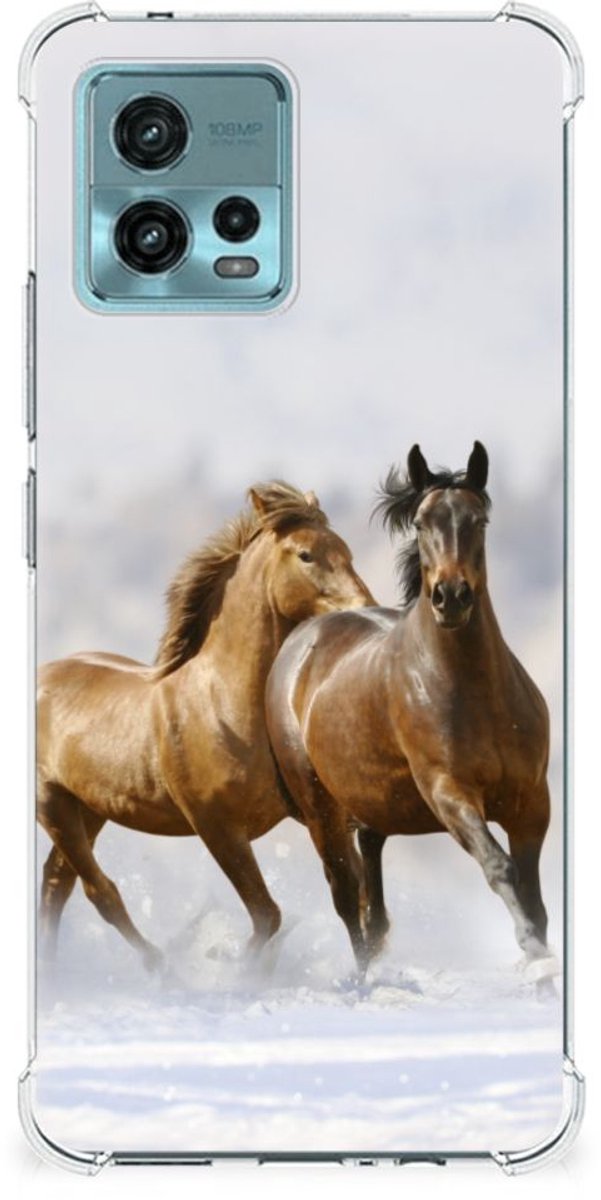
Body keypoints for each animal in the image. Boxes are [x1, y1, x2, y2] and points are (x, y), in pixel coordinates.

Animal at [37, 482, 374, 969]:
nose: (366, 609)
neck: (223, 707)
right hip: (52, 804)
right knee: (98, 891)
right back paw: (161, 968)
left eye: (346, 550)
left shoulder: (316, 813)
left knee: (56, 884)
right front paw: (232, 966)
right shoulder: (217, 827)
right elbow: (267, 915)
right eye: (306, 554)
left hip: (90, 808)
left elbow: (350, 893)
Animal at [266, 444, 553, 978]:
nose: (451, 597)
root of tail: (301, 640)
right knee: (346, 897)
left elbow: (533, 893)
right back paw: (363, 979)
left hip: (371, 805)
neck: (476, 694)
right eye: (420, 523)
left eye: (479, 520)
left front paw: (541, 956)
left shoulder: (532, 802)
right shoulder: (449, 793)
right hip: (320, 810)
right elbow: (500, 867)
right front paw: (533, 953)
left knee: (371, 895)